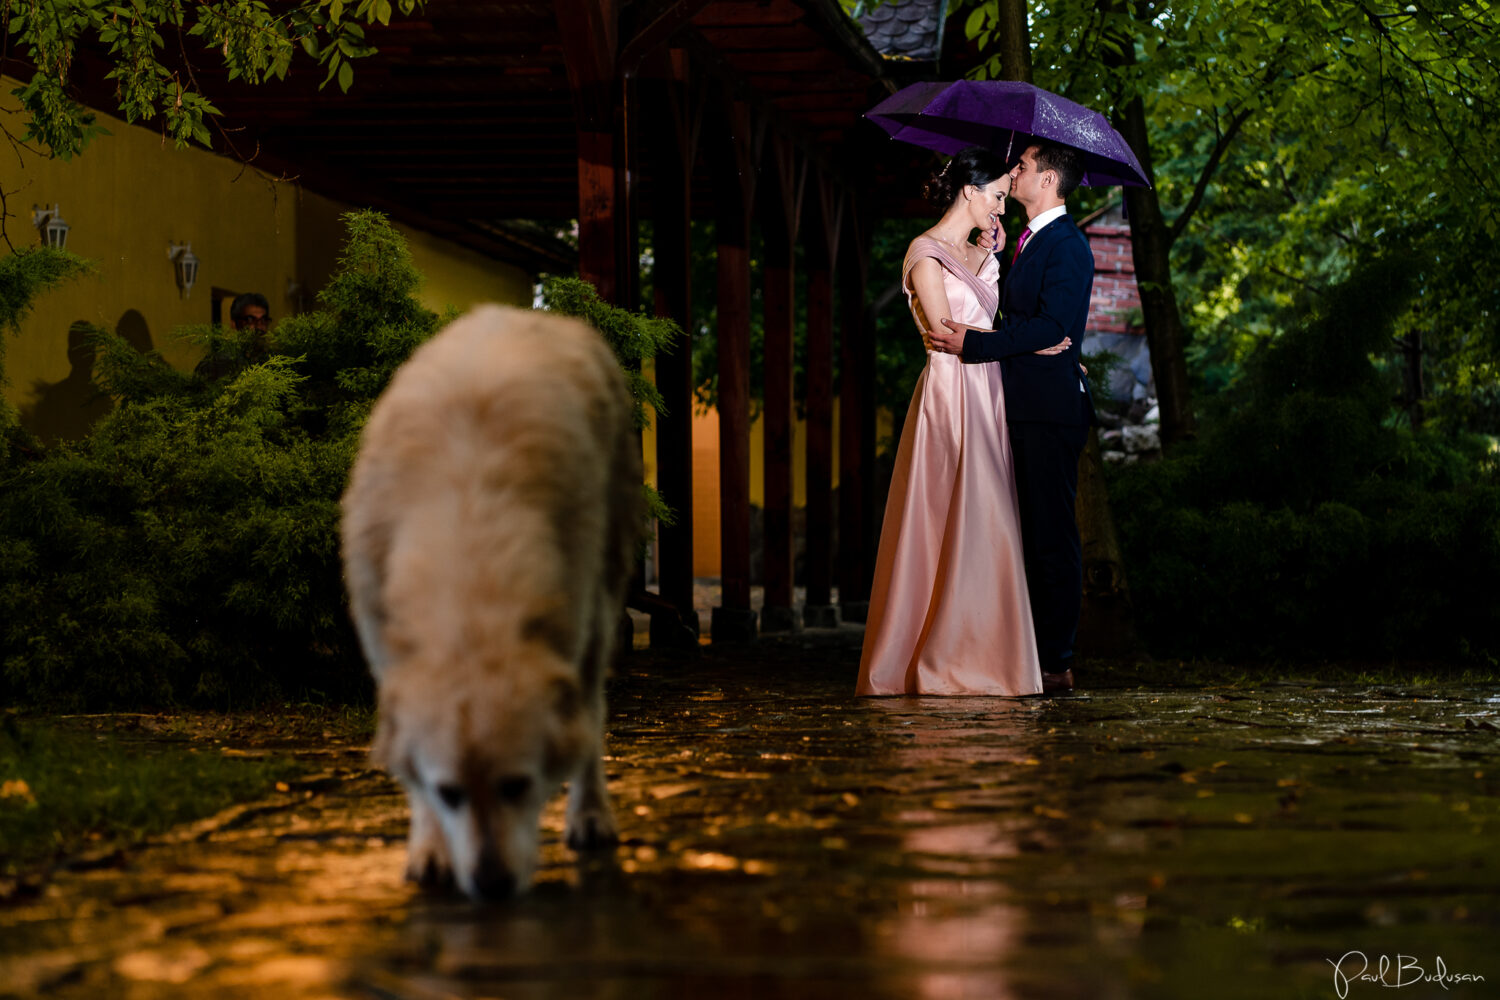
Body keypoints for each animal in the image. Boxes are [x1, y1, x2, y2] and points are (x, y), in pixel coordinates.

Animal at [340, 302, 639, 899]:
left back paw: (590, 814)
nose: (491, 883)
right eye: (450, 792)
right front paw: (430, 849)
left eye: (518, 785)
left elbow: (584, 725)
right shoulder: (387, 654)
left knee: (593, 711)